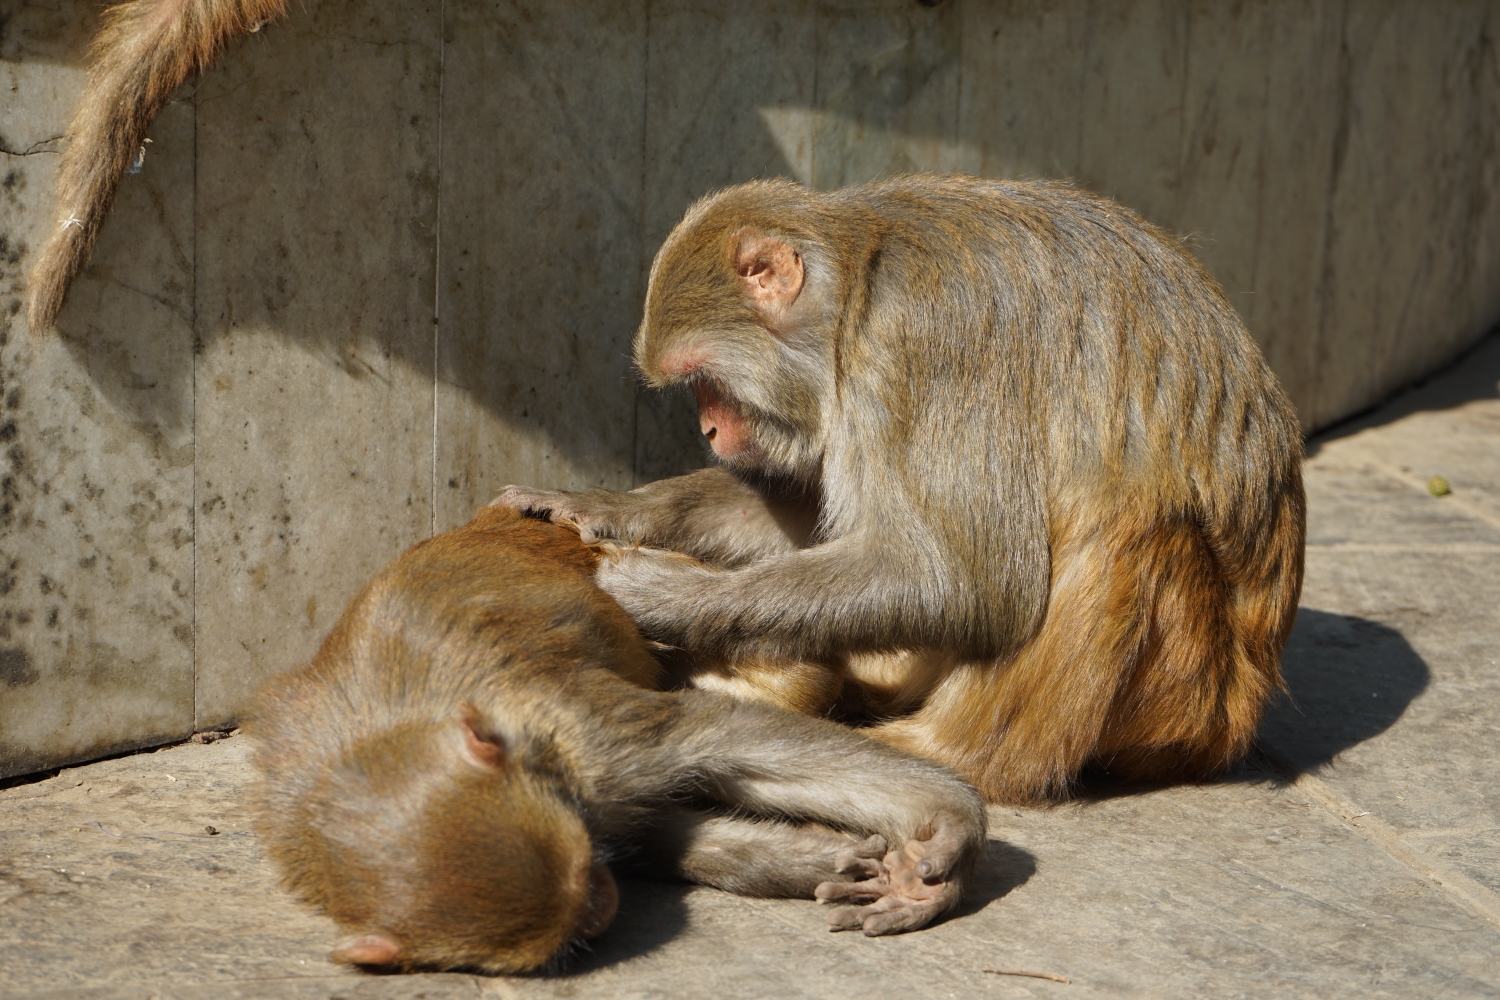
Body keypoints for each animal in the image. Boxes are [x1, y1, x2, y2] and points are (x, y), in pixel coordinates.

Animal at [252, 503, 990, 971]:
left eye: (583, 877)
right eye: (573, 918)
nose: (603, 906)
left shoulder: (583, 735)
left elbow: (718, 737)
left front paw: (944, 826)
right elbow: (654, 826)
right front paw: (810, 860)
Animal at [501, 176, 1302, 809]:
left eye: (704, 381)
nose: (708, 428)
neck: (857, 289)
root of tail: (1238, 717)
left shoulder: (920, 345)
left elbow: (967, 581)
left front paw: (665, 594)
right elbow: (812, 521)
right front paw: (607, 506)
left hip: (1181, 704)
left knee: (1126, 522)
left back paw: (940, 755)